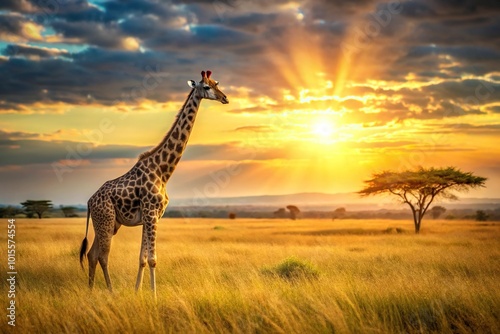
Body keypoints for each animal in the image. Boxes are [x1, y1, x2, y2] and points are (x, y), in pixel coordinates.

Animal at [79, 70, 228, 294]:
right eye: (207, 87)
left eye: (217, 83)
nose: (225, 98)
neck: (163, 172)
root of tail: (89, 202)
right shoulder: (151, 214)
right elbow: (152, 259)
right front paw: (154, 295)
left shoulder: (150, 216)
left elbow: (141, 259)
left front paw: (137, 292)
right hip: (105, 219)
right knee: (103, 256)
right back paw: (111, 292)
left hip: (108, 223)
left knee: (91, 254)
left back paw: (89, 291)